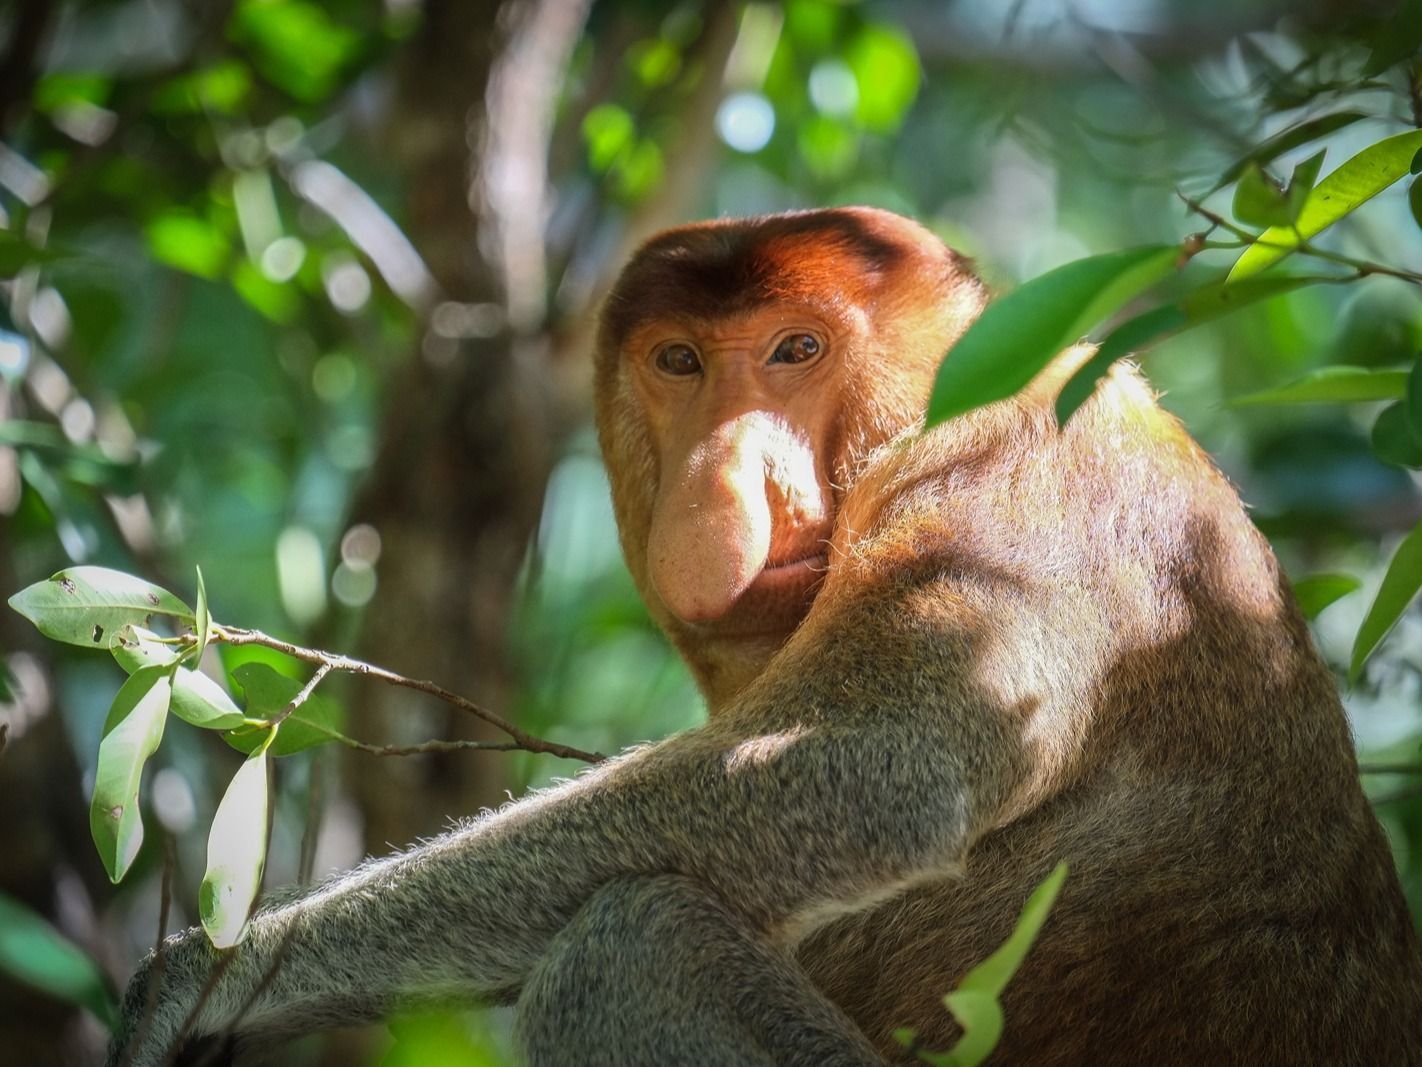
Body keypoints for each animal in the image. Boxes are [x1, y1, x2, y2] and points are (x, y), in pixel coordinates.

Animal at [108, 210, 1422, 1067]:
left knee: (632, 940)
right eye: (679, 360)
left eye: (798, 350)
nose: (725, 471)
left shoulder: (1008, 469)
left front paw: (206, 980)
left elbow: (871, 768)